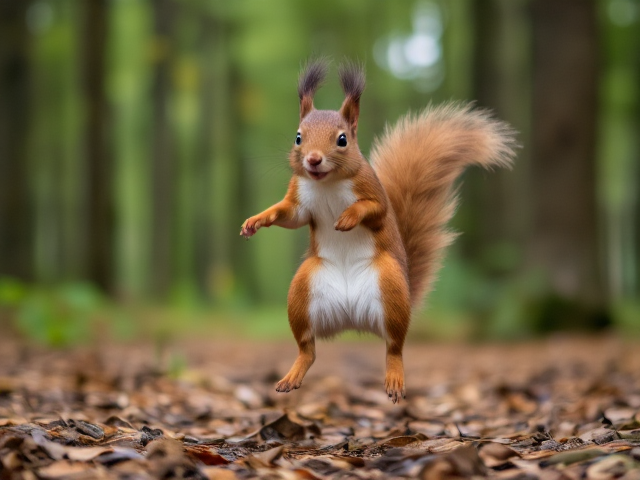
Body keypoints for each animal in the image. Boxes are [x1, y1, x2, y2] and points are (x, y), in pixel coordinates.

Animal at [240, 60, 517, 403]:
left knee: (394, 347)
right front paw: (255, 220)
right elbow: (288, 214)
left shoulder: (372, 191)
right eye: (298, 137)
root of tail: (351, 317)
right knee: (309, 349)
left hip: (390, 285)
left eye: (342, 139)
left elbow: (375, 210)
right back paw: (292, 376)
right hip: (302, 291)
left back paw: (394, 377)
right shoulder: (299, 199)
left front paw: (347, 218)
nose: (313, 160)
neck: (327, 184)